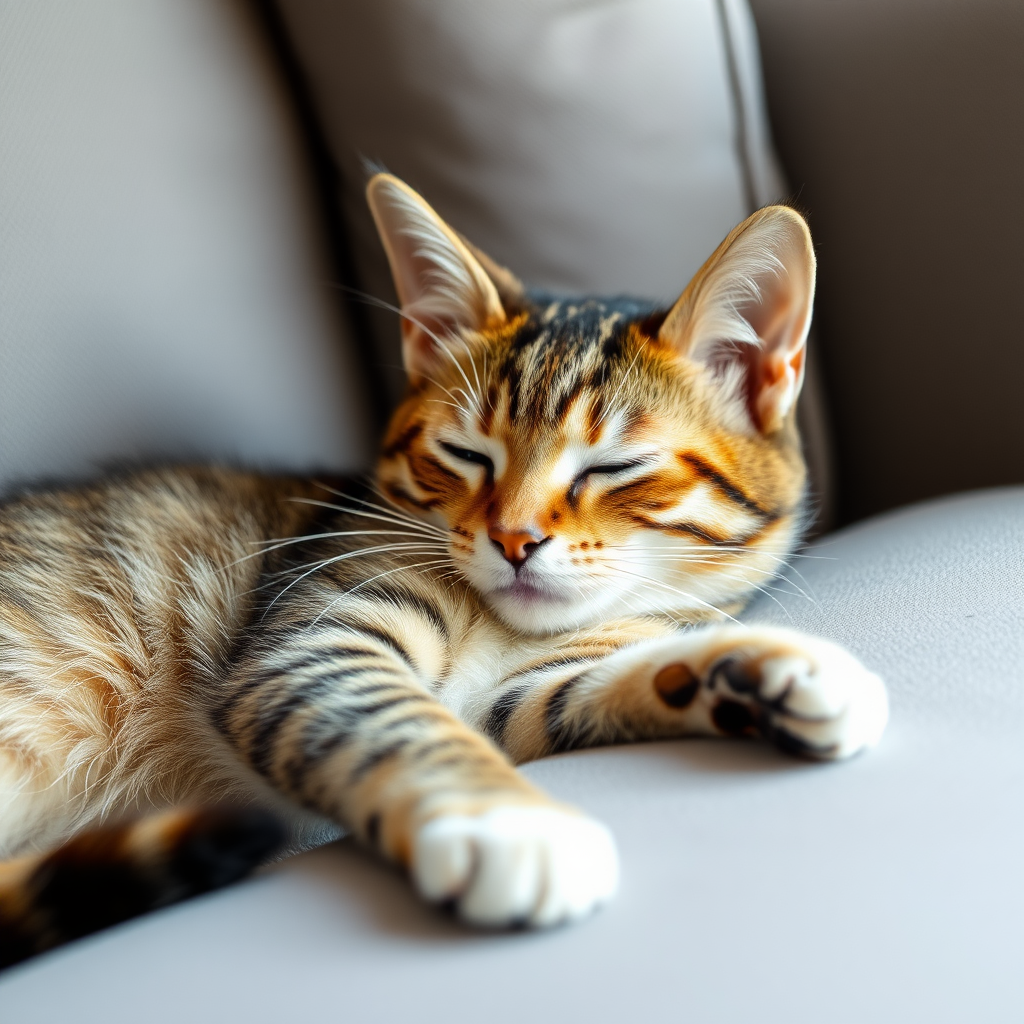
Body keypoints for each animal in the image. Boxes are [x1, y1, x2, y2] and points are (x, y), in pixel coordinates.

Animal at [0, 172, 884, 962]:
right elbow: (407, 724)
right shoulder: (315, 639)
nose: (515, 539)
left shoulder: (515, 699)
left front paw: (759, 670)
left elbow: (585, 687)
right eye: (465, 455)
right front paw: (511, 824)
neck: (505, 629)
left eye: (613, 467)